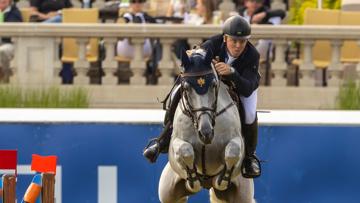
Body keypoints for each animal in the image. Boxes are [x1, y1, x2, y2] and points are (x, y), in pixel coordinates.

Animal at [158, 48, 256, 203]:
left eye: (214, 85)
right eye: (186, 87)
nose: (206, 133)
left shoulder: (237, 141)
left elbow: (232, 152)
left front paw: (222, 179)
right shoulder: (176, 143)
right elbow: (185, 150)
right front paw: (193, 179)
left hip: (242, 195)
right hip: (168, 191)